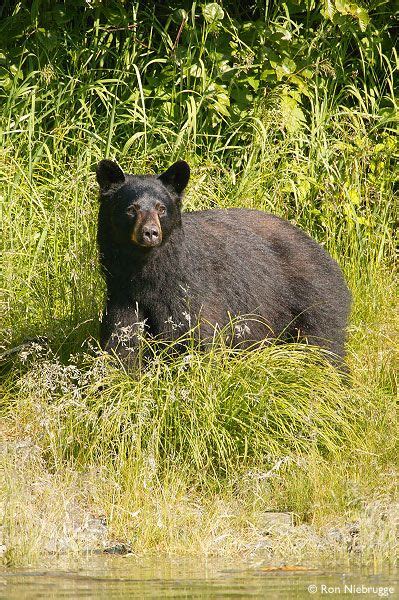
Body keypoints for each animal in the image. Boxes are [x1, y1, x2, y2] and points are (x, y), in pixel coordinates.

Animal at [95, 159, 352, 366]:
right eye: (131, 209)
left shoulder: (189, 292)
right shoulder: (123, 295)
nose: (150, 233)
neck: (148, 272)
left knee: (323, 344)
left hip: (313, 298)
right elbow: (122, 341)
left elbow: (196, 337)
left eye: (161, 208)